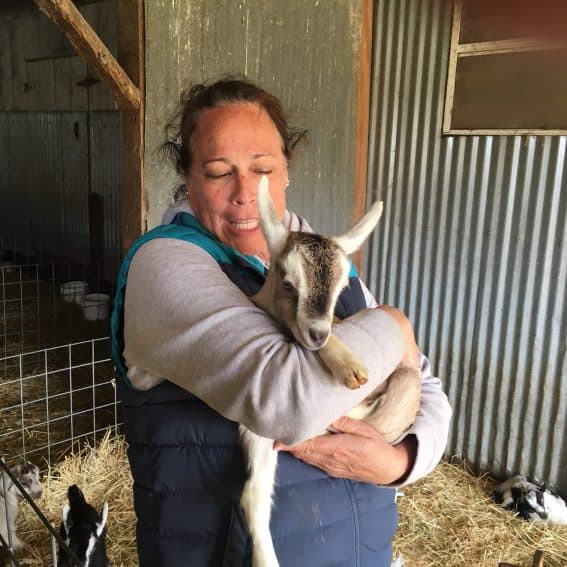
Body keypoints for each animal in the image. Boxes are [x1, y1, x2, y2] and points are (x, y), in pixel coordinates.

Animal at [240, 175, 422, 564]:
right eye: (288, 283)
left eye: (341, 289)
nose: (318, 334)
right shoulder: (259, 429)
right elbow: (254, 497)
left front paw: (350, 366)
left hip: (407, 383)